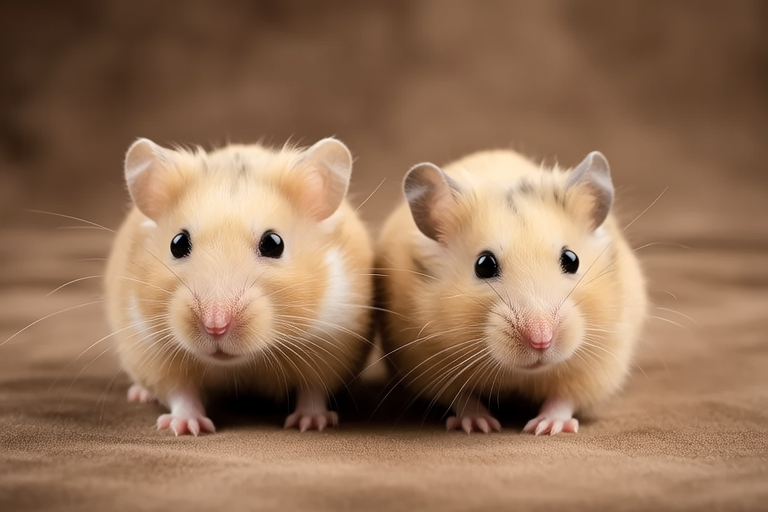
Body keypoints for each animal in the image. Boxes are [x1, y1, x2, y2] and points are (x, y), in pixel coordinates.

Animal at [105, 137, 374, 435]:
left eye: (274, 244)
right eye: (177, 243)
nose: (215, 326)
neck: (241, 363)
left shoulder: (330, 343)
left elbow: (313, 389)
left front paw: (311, 423)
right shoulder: (152, 350)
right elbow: (180, 392)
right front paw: (186, 427)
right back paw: (139, 394)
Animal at [375, 149, 646, 435]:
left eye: (572, 259)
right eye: (484, 265)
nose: (541, 340)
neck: (522, 374)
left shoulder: (601, 361)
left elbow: (564, 397)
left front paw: (545, 427)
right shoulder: (428, 362)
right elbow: (462, 397)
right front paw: (480, 425)